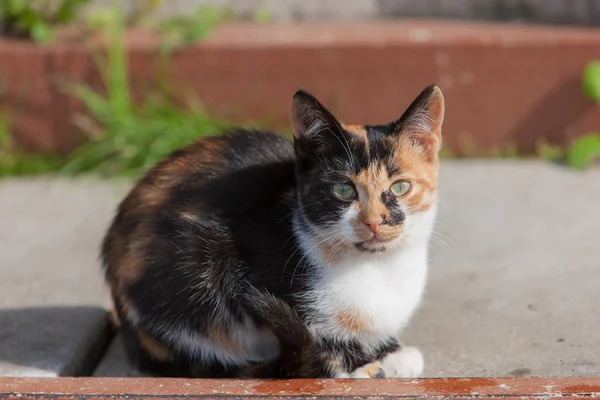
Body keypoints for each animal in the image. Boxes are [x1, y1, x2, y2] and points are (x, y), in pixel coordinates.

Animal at [101, 83, 442, 378]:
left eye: (400, 187)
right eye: (344, 190)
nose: (373, 221)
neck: (376, 265)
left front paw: (392, 352)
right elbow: (310, 328)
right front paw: (358, 364)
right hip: (189, 262)